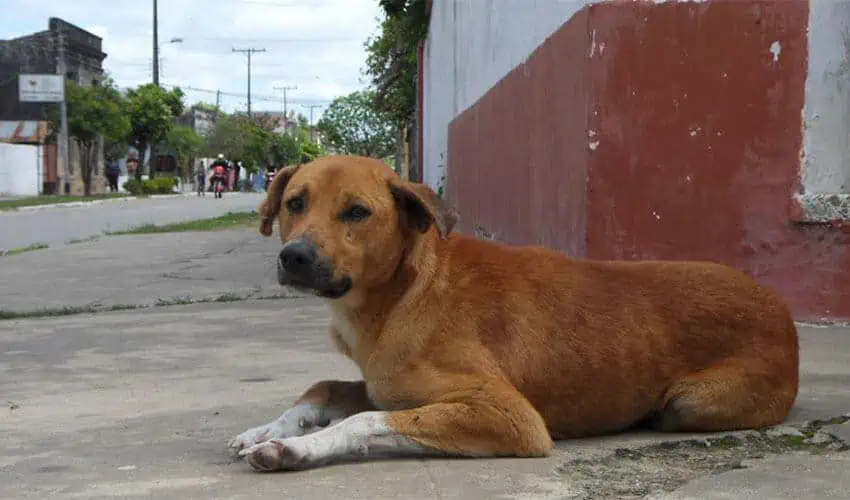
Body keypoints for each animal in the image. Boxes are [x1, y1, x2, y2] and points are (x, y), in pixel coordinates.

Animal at [225, 156, 796, 472]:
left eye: (357, 212)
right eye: (295, 203)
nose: (294, 257)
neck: (407, 293)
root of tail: (779, 305)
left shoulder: (509, 415)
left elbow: (363, 419)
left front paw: (294, 448)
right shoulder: (391, 386)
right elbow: (323, 388)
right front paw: (267, 429)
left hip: (690, 402)